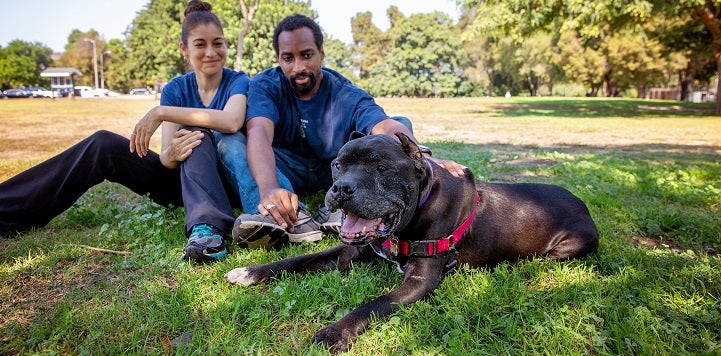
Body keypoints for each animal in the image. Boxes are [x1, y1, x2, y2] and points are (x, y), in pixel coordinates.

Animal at [225, 131, 596, 354]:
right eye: (337, 165)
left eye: (382, 168)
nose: (341, 188)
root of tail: (582, 202)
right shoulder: (349, 252)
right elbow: (296, 261)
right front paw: (250, 271)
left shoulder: (419, 280)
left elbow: (373, 305)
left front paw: (335, 332)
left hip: (571, 246)